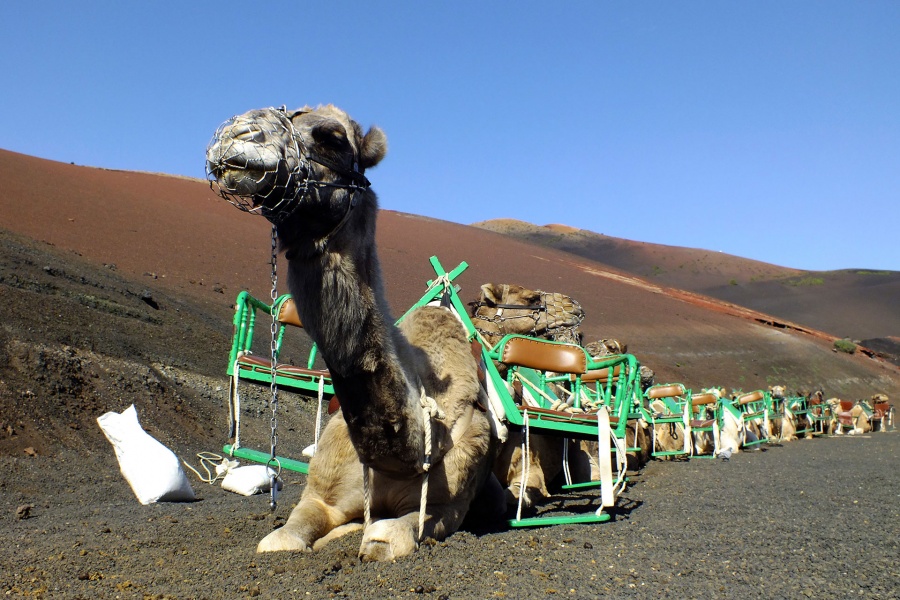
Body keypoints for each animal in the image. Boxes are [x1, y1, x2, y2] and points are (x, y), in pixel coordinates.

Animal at [204, 104, 502, 564]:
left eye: (331, 137)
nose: (238, 134)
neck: (406, 455)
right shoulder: (320, 495)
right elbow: (281, 539)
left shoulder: (443, 507)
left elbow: (384, 538)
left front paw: (358, 538)